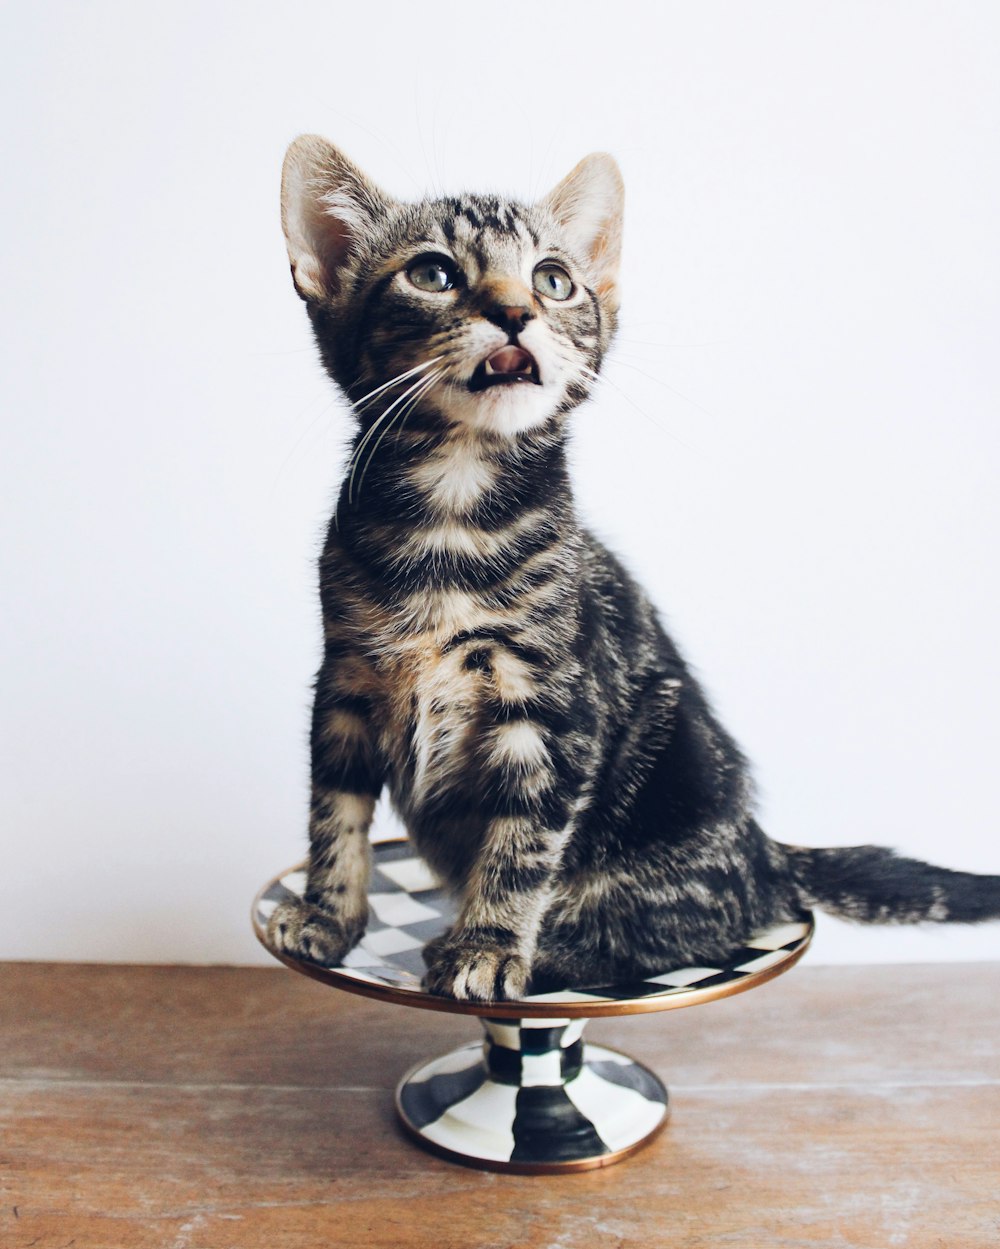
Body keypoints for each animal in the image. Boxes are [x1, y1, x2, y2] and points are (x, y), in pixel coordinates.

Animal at [264, 131, 998, 999]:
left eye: (553, 278)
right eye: (433, 273)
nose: (516, 311)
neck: (451, 516)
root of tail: (764, 850)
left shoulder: (552, 712)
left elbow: (520, 846)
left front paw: (487, 944)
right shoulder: (342, 682)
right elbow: (333, 814)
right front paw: (328, 914)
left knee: (683, 927)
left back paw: (540, 948)